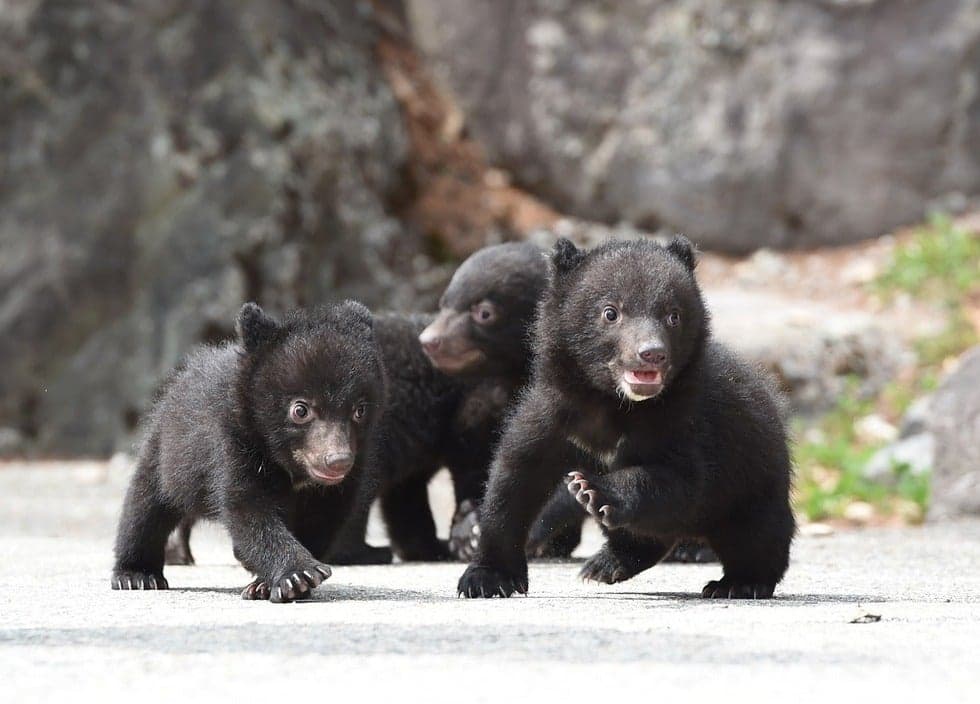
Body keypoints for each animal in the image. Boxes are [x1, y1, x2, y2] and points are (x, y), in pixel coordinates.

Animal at [111, 301, 386, 602]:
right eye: (300, 410)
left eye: (359, 410)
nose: (337, 461)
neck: (289, 467)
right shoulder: (233, 442)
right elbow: (248, 508)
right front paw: (297, 575)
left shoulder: (348, 474)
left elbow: (322, 519)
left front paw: (266, 583)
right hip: (166, 451)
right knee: (145, 507)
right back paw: (136, 575)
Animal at [456, 236, 795, 599]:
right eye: (610, 313)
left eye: (673, 315)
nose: (652, 354)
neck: (613, 402)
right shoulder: (553, 413)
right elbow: (516, 478)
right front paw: (485, 578)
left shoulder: (682, 421)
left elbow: (682, 481)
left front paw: (591, 488)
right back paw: (606, 564)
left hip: (754, 480)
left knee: (756, 535)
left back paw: (738, 582)